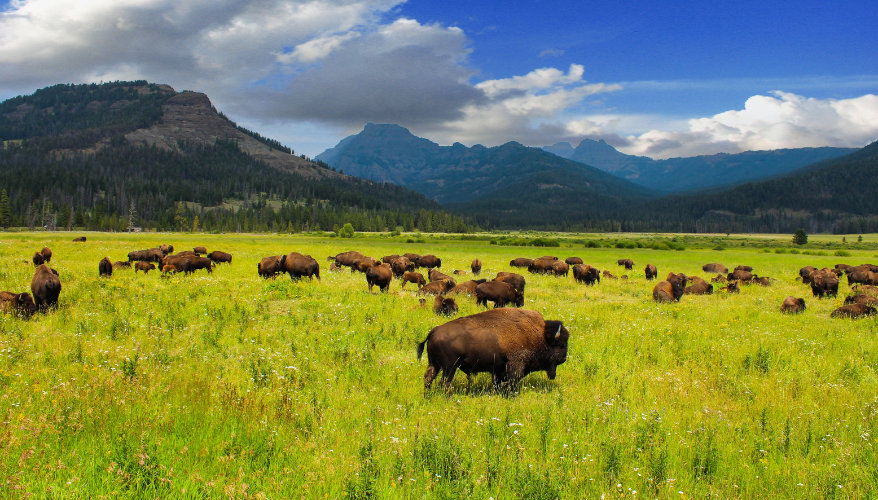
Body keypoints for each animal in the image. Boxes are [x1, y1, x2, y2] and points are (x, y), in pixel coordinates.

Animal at [417, 308, 569, 391]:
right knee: (445, 382)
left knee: (429, 377)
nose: (564, 359)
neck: (540, 335)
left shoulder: (498, 369)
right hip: (450, 367)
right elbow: (512, 382)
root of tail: (434, 331)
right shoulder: (515, 364)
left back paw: (427, 394)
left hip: (435, 364)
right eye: (561, 345)